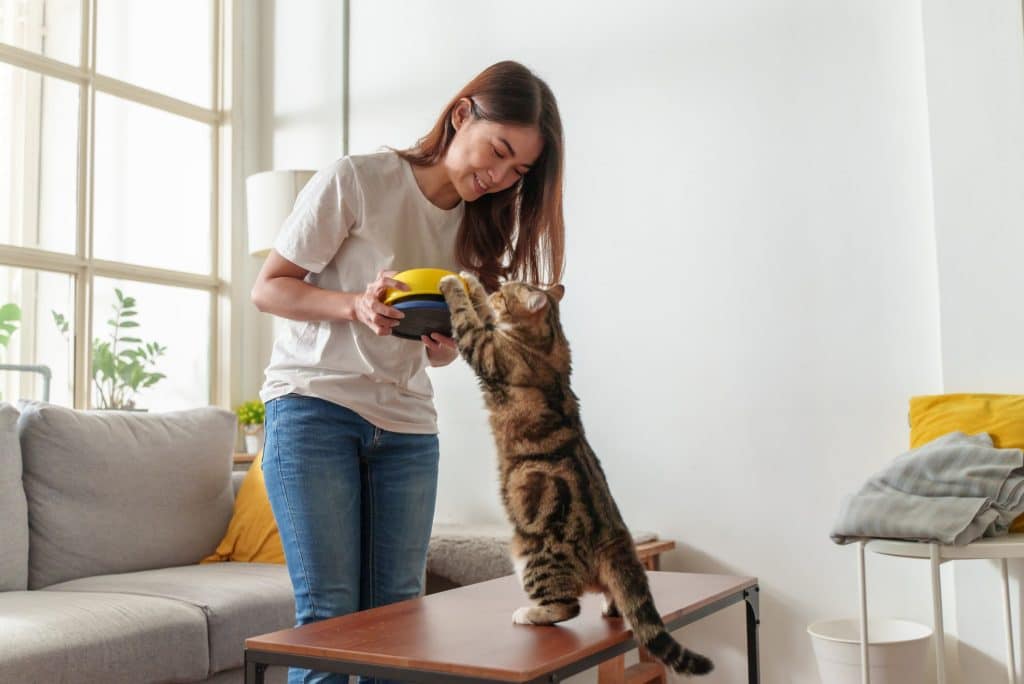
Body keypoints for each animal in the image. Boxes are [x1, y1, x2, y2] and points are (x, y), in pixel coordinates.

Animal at [438, 274, 712, 679]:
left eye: (507, 291)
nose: (497, 284)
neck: (548, 340)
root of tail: (615, 537)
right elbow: (481, 314)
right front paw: (472, 282)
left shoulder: (486, 349)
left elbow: (468, 320)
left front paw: (455, 285)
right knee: (616, 597)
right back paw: (610, 607)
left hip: (533, 556)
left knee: (567, 606)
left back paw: (530, 613)